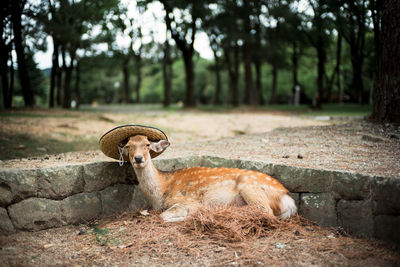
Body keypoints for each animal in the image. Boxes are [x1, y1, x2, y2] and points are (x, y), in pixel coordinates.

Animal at [120, 135, 298, 223]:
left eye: (147, 144)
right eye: (128, 145)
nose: (138, 158)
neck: (162, 189)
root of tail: (287, 197)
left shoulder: (187, 199)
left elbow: (164, 216)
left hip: (250, 186)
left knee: (265, 211)